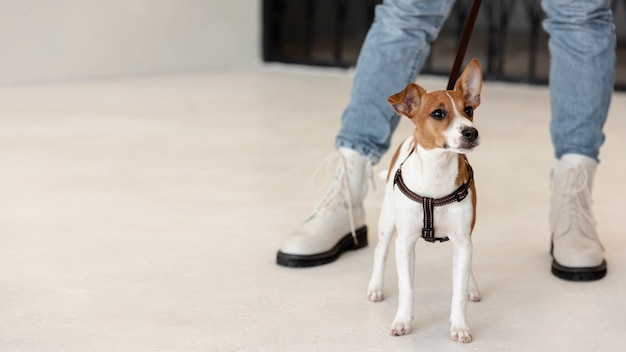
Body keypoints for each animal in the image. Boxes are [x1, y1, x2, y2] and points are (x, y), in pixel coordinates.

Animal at [366, 58, 482, 344]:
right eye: (438, 114)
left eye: (469, 110)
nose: (471, 132)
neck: (436, 173)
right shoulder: (405, 242)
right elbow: (406, 287)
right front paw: (403, 321)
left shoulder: (463, 241)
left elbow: (458, 292)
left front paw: (459, 326)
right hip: (388, 222)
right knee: (380, 252)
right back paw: (375, 287)